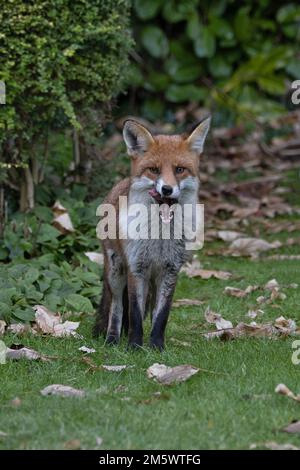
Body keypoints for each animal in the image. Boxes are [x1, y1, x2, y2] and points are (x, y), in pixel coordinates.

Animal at [92, 117, 210, 348]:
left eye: (179, 169)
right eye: (154, 170)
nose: (167, 189)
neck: (159, 238)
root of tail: (121, 183)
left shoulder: (171, 270)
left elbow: (161, 315)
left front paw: (156, 346)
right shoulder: (136, 269)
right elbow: (135, 314)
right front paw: (134, 347)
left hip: (152, 280)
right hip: (116, 272)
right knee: (117, 307)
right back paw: (112, 339)